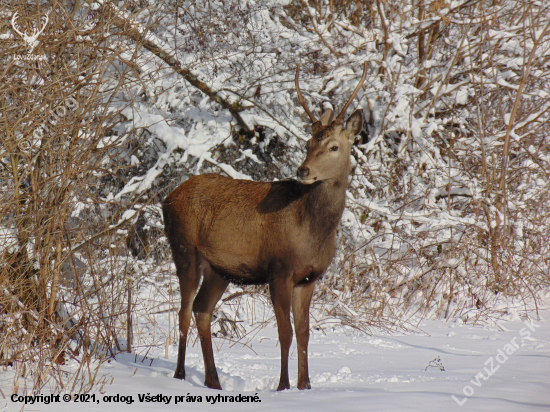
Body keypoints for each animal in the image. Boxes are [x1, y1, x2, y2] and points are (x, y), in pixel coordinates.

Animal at [164, 62, 368, 392]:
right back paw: (180, 375)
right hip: (183, 249)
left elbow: (304, 333)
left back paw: (213, 380)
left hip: (219, 269)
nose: (303, 170)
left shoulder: (309, 277)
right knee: (183, 311)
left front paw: (306, 385)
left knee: (201, 309)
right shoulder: (279, 270)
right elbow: (285, 332)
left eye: (334, 146)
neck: (312, 232)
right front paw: (283, 385)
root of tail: (165, 199)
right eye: (307, 143)